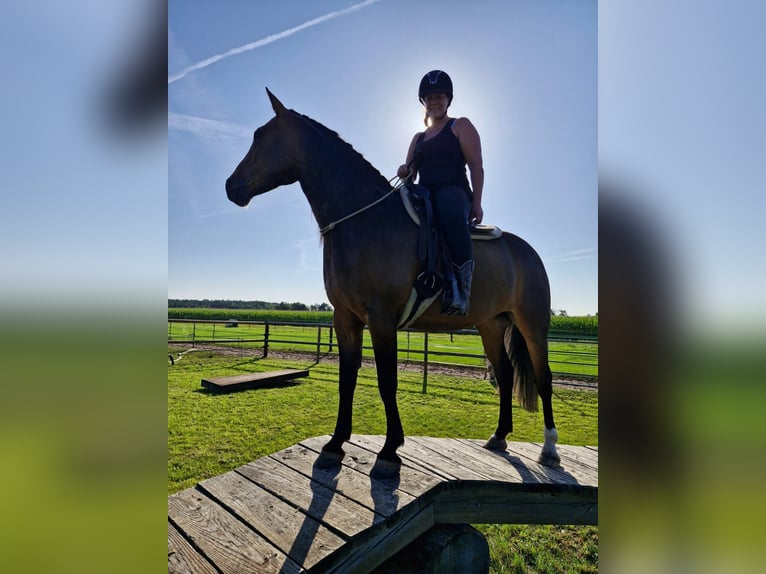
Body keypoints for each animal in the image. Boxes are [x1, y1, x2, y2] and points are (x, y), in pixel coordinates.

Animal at [226, 89, 560, 477]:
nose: (231, 186)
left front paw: (388, 451)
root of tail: (527, 252)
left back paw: (550, 449)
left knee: (544, 378)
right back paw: (499, 436)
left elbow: (387, 381)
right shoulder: (346, 318)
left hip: (533, 324)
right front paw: (335, 444)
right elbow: (347, 379)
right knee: (505, 375)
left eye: (260, 135)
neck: (365, 221)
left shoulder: (382, 319)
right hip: (490, 324)